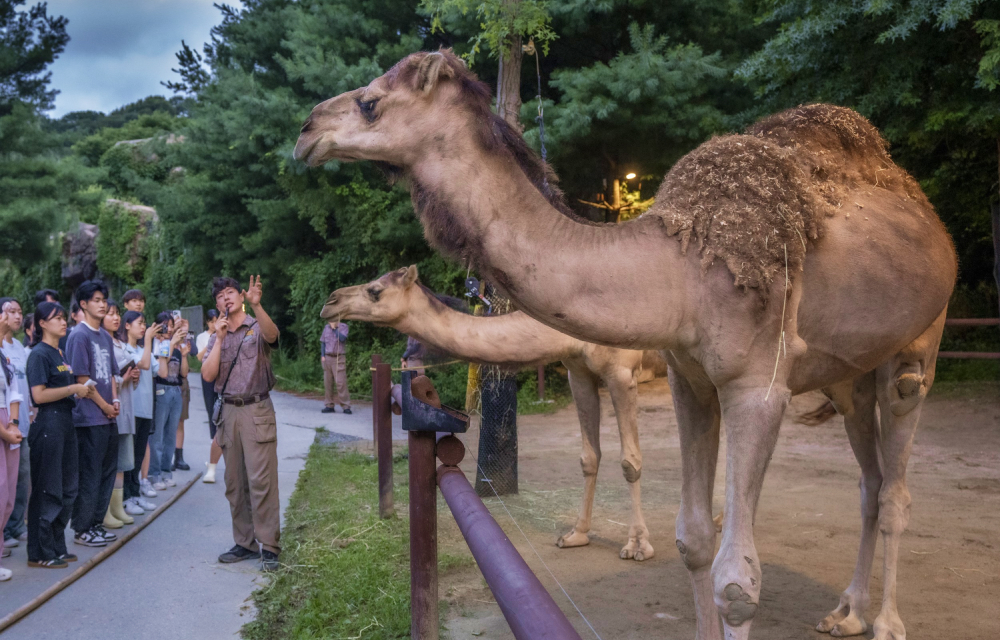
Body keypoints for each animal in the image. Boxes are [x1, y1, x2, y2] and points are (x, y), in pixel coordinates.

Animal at [320, 264, 664, 560]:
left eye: (375, 290)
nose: (330, 302)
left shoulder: (621, 372)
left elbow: (629, 461)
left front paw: (637, 545)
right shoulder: (577, 372)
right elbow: (589, 457)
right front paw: (576, 535)